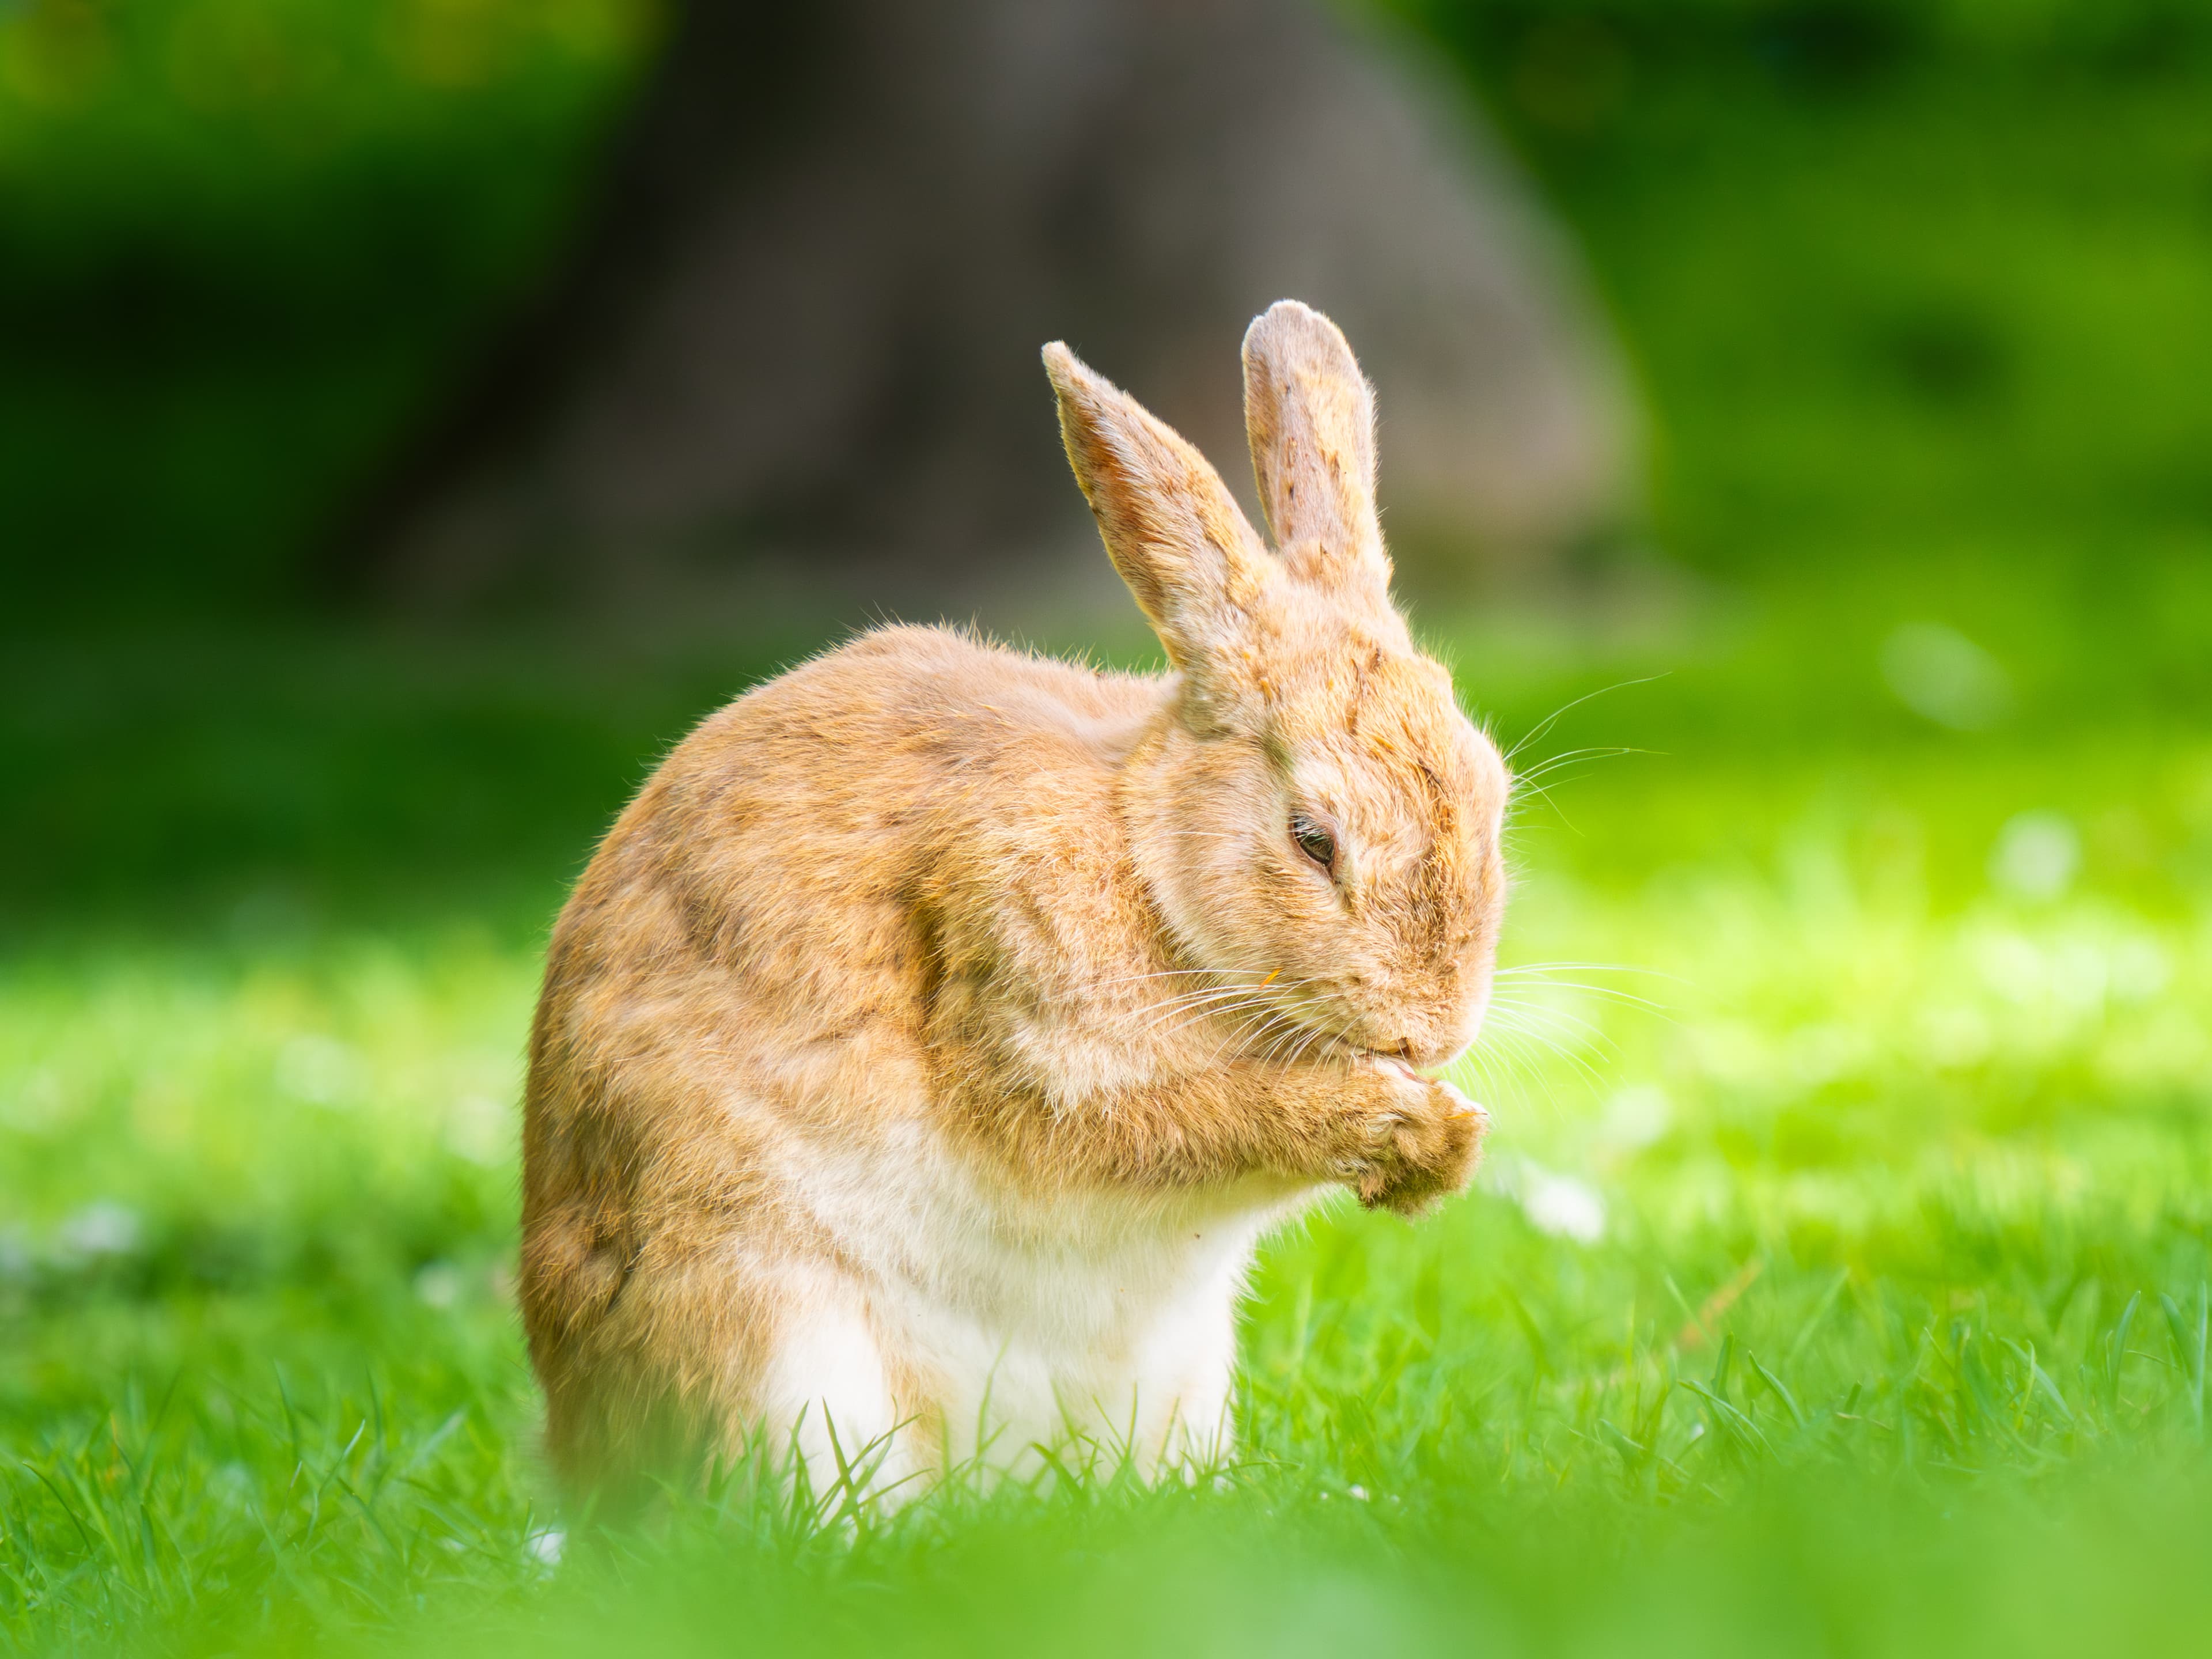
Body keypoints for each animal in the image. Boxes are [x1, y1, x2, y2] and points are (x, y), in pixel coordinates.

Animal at [519, 300, 1511, 1508]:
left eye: (1493, 797)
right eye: (1311, 840)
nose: (1434, 1033)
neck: (1150, 859)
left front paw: (1447, 1142)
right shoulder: (1029, 1041)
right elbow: (1183, 1128)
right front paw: (1410, 1124)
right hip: (772, 1339)